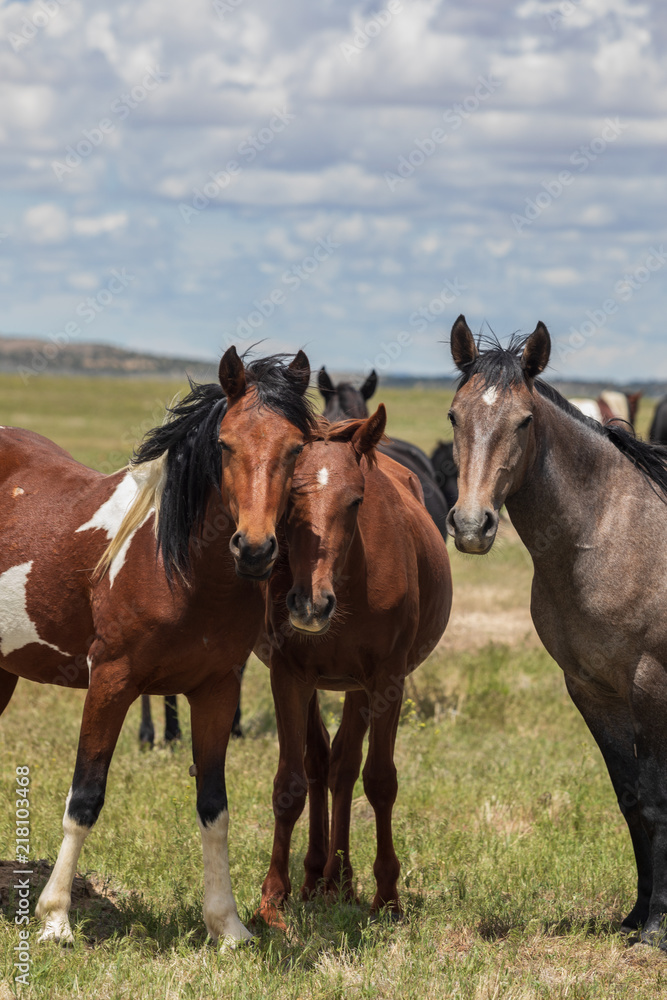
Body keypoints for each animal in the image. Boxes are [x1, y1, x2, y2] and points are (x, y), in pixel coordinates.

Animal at [0, 346, 314, 944]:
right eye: (225, 444)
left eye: (296, 448)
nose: (255, 549)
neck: (177, 567)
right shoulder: (110, 681)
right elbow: (85, 797)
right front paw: (55, 919)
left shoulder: (216, 691)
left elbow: (214, 807)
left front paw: (227, 926)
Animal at [256, 404, 454, 920]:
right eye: (290, 496)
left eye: (356, 500)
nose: (311, 604)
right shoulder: (289, 675)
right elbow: (290, 782)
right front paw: (274, 897)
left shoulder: (385, 680)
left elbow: (380, 780)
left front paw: (388, 896)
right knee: (322, 762)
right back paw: (317, 876)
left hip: (357, 688)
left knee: (344, 765)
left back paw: (340, 879)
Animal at [446, 316, 667, 948]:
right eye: (454, 416)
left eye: (523, 421)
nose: (471, 526)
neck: (607, 533)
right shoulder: (592, 690)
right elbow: (632, 801)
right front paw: (637, 916)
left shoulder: (650, 687)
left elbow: (657, 801)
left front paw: (657, 929)